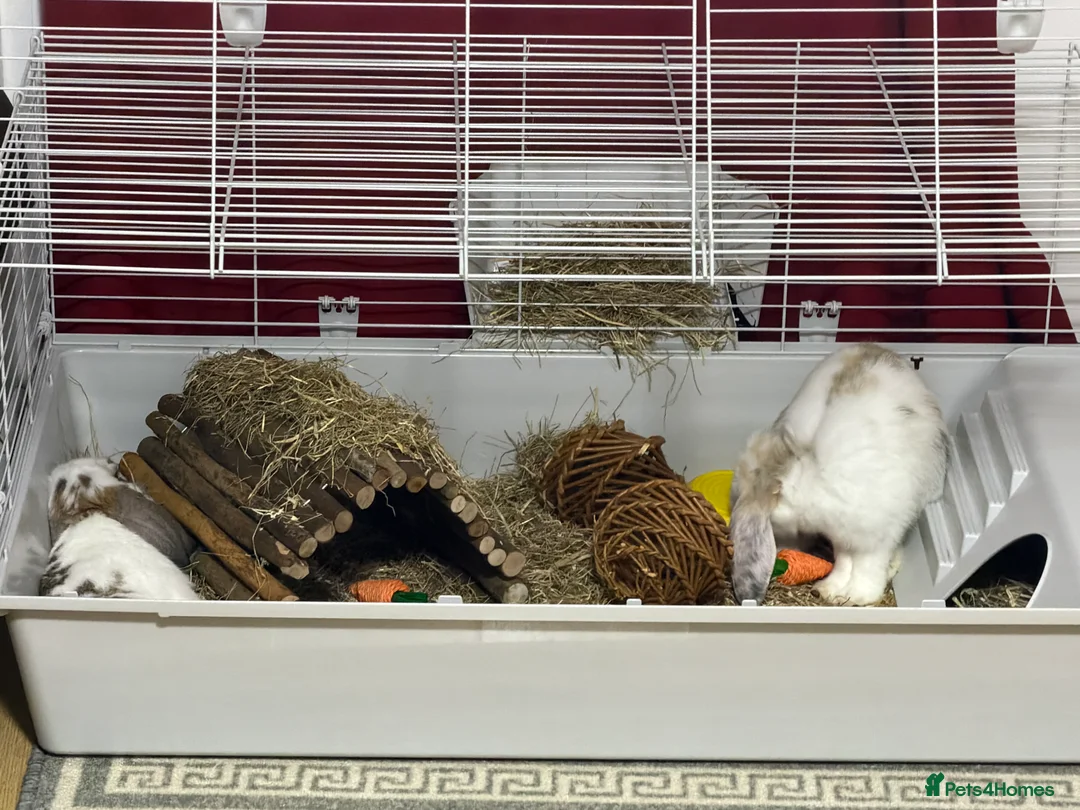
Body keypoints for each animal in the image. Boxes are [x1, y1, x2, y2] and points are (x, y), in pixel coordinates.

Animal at [728, 343, 949, 607]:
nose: (782, 548)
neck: (801, 470)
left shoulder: (876, 533)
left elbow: (867, 566)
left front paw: (860, 595)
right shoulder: (841, 534)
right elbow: (844, 561)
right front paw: (831, 589)